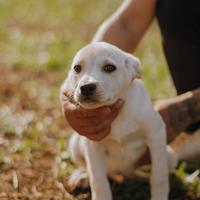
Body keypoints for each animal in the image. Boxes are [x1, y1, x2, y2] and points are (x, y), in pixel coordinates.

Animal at [60, 42, 177, 200]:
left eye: (109, 68)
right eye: (77, 68)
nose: (86, 88)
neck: (119, 115)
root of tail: (122, 173)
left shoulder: (156, 134)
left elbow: (159, 176)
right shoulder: (92, 146)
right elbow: (98, 182)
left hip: (170, 155)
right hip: (75, 144)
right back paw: (82, 176)